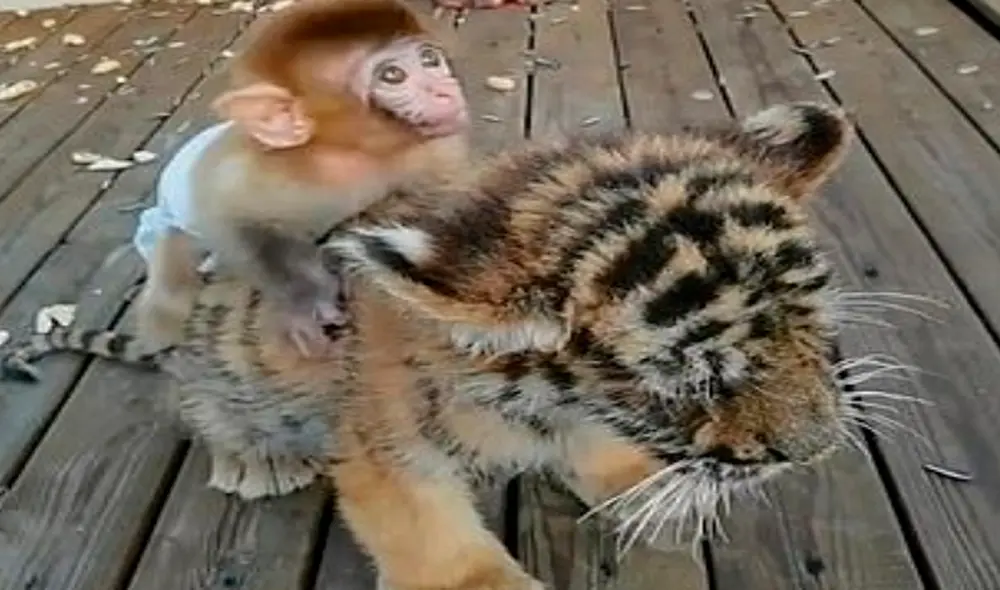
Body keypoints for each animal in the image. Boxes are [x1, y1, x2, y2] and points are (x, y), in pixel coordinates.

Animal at [2, 101, 856, 590]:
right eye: (688, 381)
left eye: (813, 324)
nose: (817, 452)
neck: (544, 405)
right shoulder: (385, 451)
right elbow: (438, 545)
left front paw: (645, 489)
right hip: (215, 366)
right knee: (197, 406)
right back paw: (258, 460)